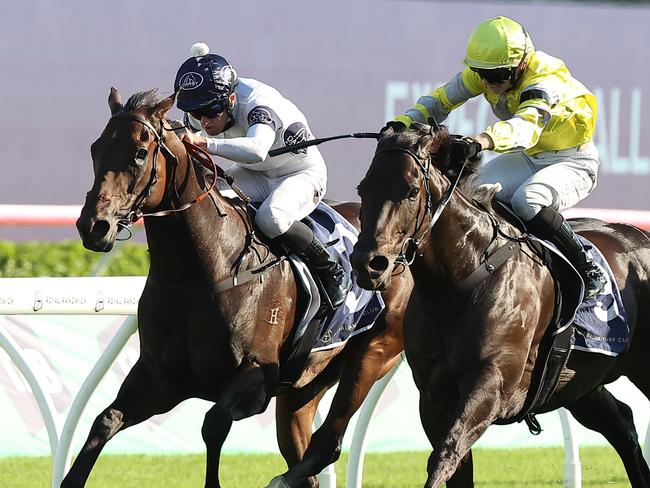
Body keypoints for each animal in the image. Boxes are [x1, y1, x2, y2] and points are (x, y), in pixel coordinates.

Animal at [66, 88, 410, 488]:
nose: (94, 226)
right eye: (96, 148)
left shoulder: (256, 377)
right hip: (303, 388)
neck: (200, 274)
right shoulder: (159, 378)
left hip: (372, 355)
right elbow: (105, 421)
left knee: (329, 444)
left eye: (139, 152)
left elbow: (213, 423)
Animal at [350, 126, 648, 488]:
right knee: (621, 423)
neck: (462, 277)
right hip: (578, 382)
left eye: (411, 191)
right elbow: (455, 465)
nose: (368, 263)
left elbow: (445, 455)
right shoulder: (435, 400)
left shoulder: (491, 383)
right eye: (363, 188)